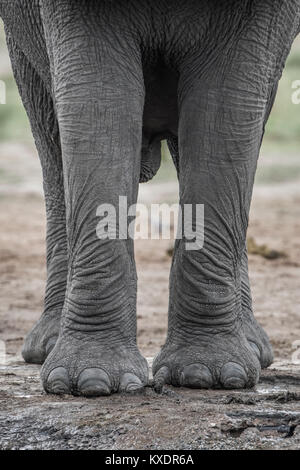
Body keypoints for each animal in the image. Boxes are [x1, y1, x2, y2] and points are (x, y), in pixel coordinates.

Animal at [1, 0, 298, 396]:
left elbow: (227, 115)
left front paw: (209, 377)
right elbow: (96, 107)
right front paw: (90, 382)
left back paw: (251, 349)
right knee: (51, 139)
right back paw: (48, 346)